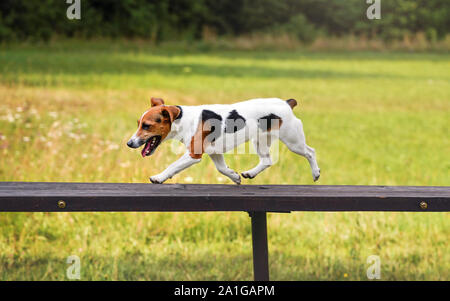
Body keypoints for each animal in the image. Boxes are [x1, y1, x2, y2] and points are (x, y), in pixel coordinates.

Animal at [127, 97, 320, 184]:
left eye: (146, 126)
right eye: (138, 124)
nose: (129, 143)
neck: (183, 120)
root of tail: (287, 103)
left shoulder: (193, 154)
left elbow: (172, 166)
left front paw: (159, 177)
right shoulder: (215, 152)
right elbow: (222, 169)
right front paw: (234, 176)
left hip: (293, 141)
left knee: (310, 152)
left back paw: (316, 173)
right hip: (260, 141)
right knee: (267, 161)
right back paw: (250, 173)